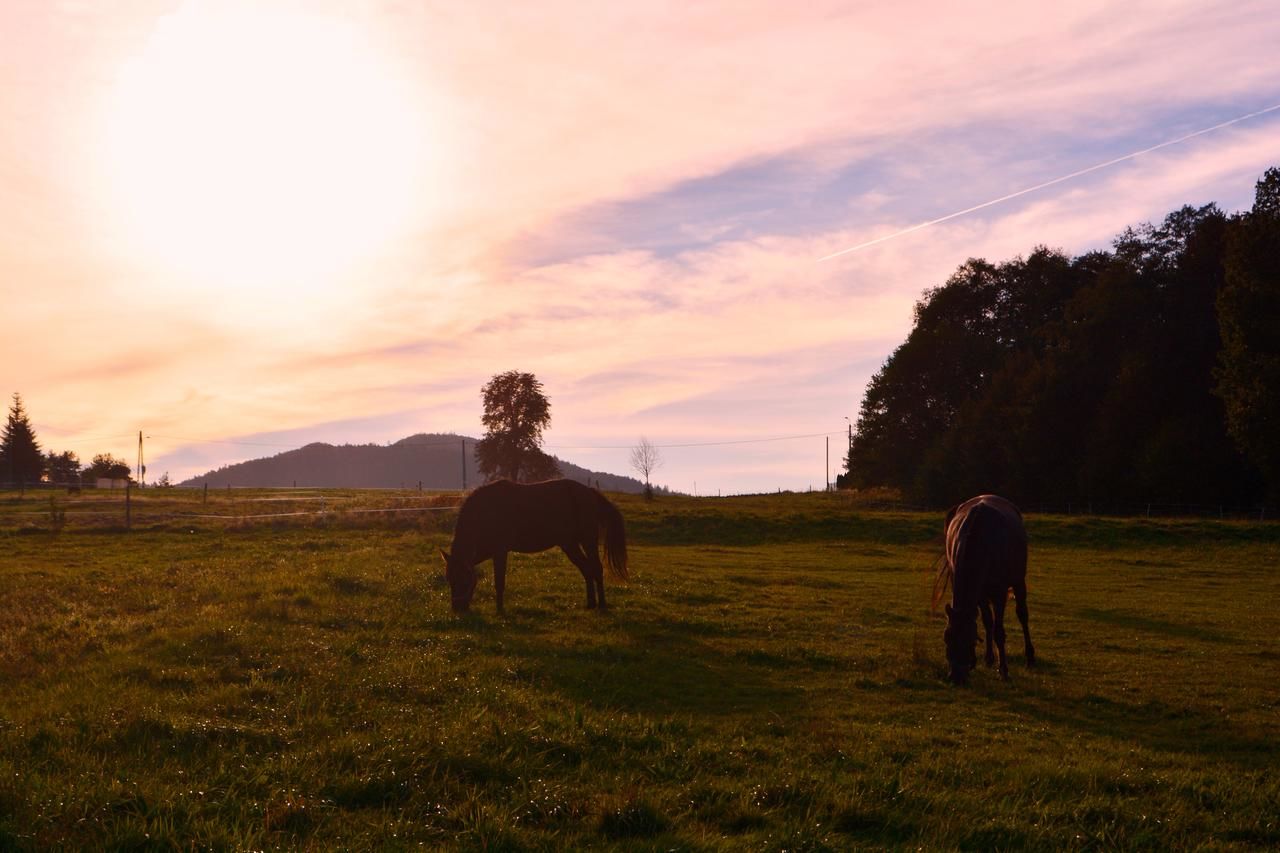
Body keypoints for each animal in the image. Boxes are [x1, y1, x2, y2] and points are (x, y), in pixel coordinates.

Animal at [440, 479, 629, 612]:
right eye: (449, 579)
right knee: (587, 569)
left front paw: (500, 611)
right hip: (569, 544)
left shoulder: (500, 551)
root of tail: (589, 492)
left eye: (464, 579)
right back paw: (590, 604)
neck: (486, 512)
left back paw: (602, 605)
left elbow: (499, 582)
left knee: (596, 568)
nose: (458, 609)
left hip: (587, 540)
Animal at [936, 491, 1034, 686]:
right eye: (947, 638)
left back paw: (1029, 657)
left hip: (1019, 581)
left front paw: (1003, 670)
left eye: (968, 640)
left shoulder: (999, 593)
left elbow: (999, 631)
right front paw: (987, 658)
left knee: (1022, 614)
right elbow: (986, 621)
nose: (956, 677)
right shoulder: (979, 593)